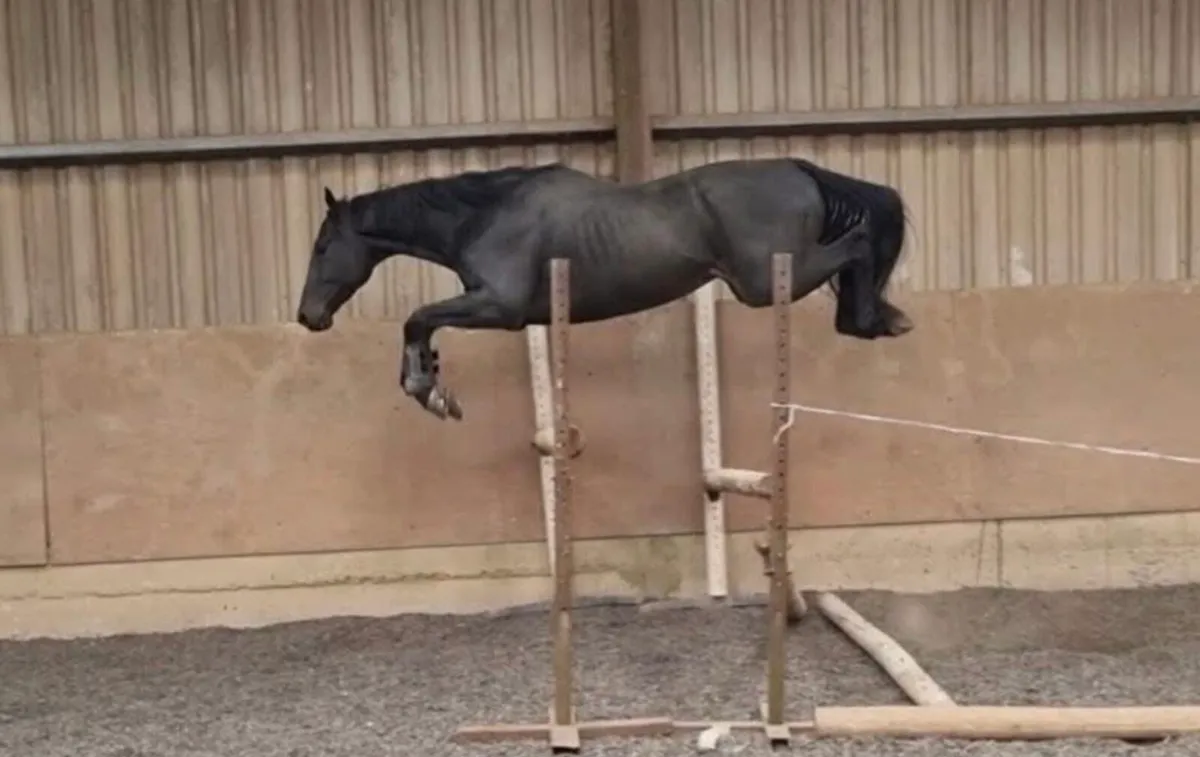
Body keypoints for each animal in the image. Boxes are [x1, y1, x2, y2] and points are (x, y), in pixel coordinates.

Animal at [295, 157, 913, 421]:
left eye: (322, 246)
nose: (308, 317)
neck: (484, 214)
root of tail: (799, 169)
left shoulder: (500, 306)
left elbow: (418, 318)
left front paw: (429, 392)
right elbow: (422, 324)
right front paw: (433, 384)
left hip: (762, 283)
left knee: (859, 241)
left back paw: (870, 318)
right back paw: (879, 319)